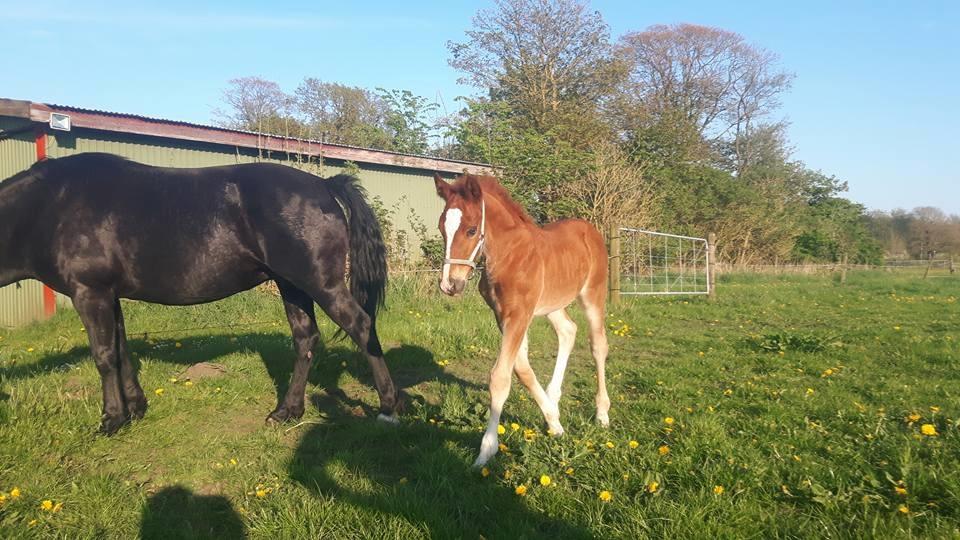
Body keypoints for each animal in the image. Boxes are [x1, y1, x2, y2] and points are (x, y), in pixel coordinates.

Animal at [0, 153, 398, 434]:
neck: (51, 205)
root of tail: (324, 185)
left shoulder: (90, 293)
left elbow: (104, 356)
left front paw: (111, 419)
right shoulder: (110, 296)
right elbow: (122, 351)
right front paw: (136, 408)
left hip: (320, 284)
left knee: (361, 326)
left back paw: (388, 407)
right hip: (292, 285)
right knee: (306, 339)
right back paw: (287, 411)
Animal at [434, 172, 608, 464]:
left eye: (471, 230)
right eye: (441, 228)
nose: (450, 285)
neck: (508, 254)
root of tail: (590, 229)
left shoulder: (519, 315)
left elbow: (500, 377)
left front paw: (486, 450)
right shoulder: (504, 315)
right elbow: (522, 370)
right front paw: (554, 421)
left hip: (593, 294)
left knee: (598, 345)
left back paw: (602, 413)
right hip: (552, 303)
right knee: (568, 330)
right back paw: (554, 397)